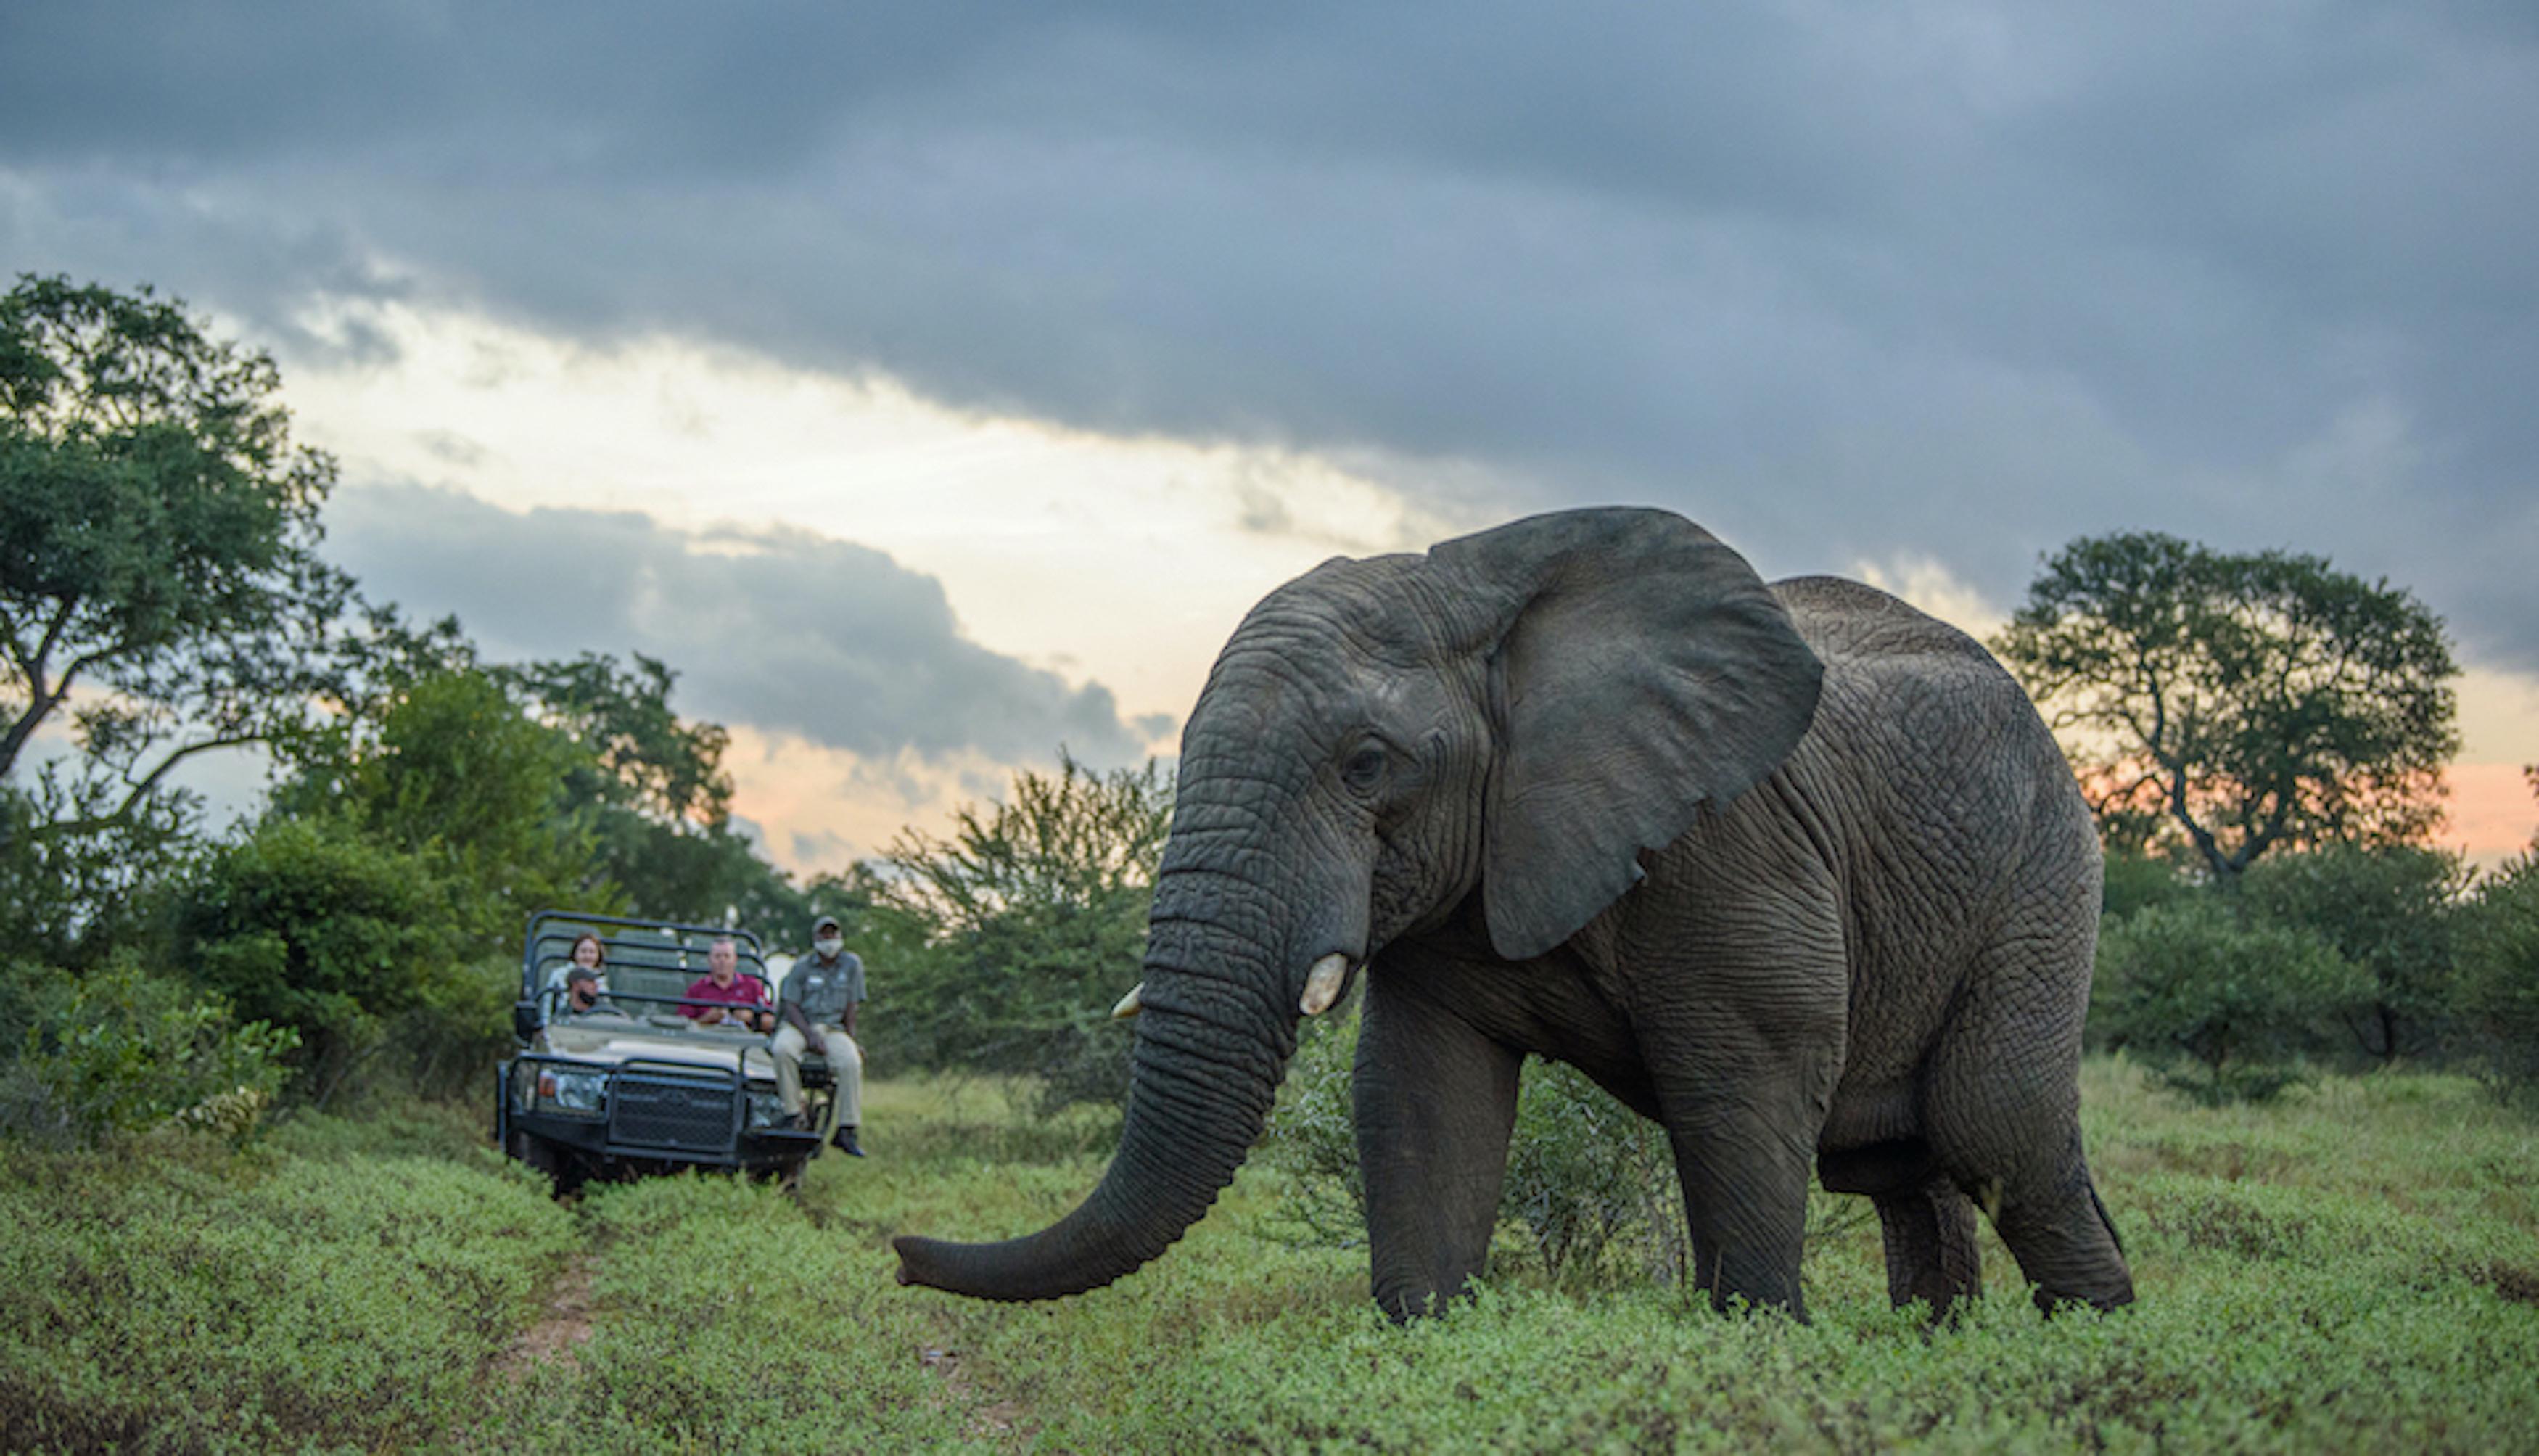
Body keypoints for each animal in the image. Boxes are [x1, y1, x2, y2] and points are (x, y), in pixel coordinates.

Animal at [894, 506, 2123, 1321]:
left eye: (1368, 763)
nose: (897, 1252)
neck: (1478, 594)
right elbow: (1424, 1095)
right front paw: (1429, 1333)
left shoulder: (1733, 842)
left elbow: (1744, 1081)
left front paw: (1759, 1341)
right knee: (1903, 1163)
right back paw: (1937, 1340)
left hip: (2045, 872)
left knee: (1993, 1125)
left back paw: (2087, 1338)